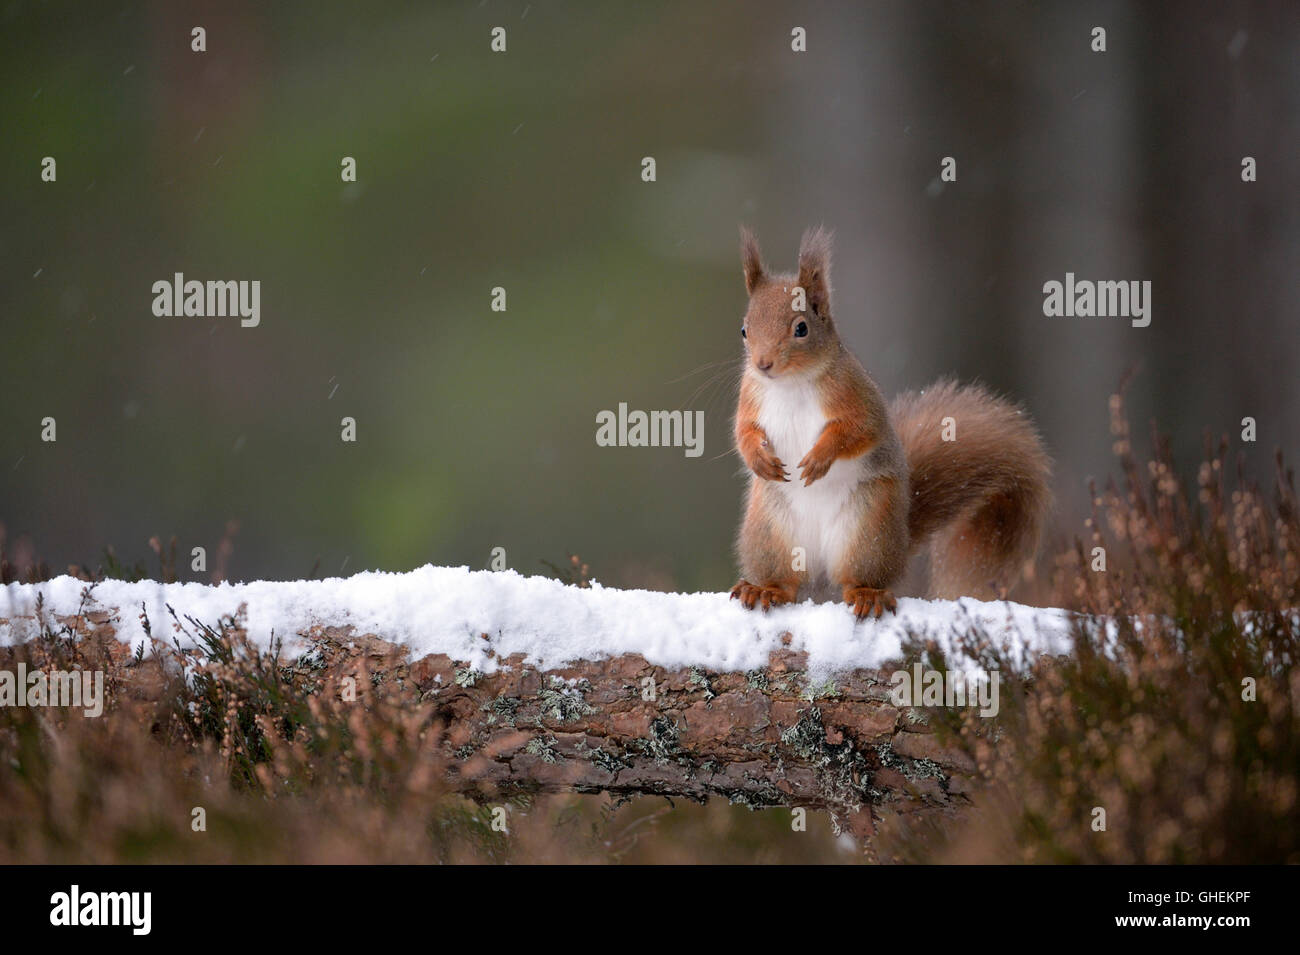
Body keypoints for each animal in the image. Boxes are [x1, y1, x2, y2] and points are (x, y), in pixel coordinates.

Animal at [730, 227, 1052, 619]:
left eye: (801, 328)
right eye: (744, 330)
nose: (762, 364)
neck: (791, 384)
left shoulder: (857, 397)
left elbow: (859, 431)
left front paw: (820, 458)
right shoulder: (751, 397)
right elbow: (743, 432)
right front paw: (758, 458)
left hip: (869, 529)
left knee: (858, 578)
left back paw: (867, 593)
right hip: (770, 532)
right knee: (786, 582)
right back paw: (765, 589)